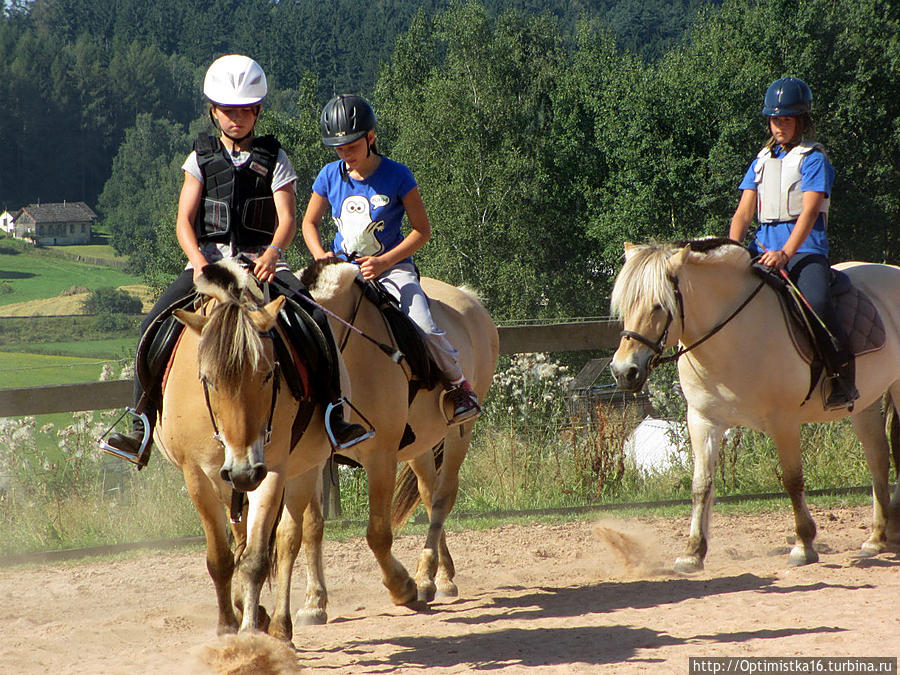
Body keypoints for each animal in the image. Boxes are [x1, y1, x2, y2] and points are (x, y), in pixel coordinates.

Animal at [153, 260, 336, 640]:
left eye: (267, 374)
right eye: (207, 379)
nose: (244, 470)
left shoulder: (273, 470)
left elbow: (254, 559)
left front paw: (251, 631)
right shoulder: (198, 476)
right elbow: (222, 557)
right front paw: (228, 624)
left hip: (303, 469)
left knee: (289, 539)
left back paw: (280, 624)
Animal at [290, 260, 500, 616]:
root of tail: (469, 298)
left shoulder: (381, 457)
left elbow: (377, 533)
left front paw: (402, 587)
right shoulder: (315, 461)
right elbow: (312, 527)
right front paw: (314, 602)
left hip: (460, 433)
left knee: (443, 497)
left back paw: (427, 578)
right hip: (421, 444)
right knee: (429, 495)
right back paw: (439, 576)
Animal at [608, 240, 900, 572]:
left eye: (658, 305)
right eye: (625, 306)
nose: (624, 372)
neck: (732, 336)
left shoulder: (784, 422)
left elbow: (792, 480)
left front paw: (803, 545)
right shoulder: (703, 421)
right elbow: (701, 484)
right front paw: (692, 552)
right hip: (866, 401)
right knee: (877, 457)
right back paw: (876, 538)